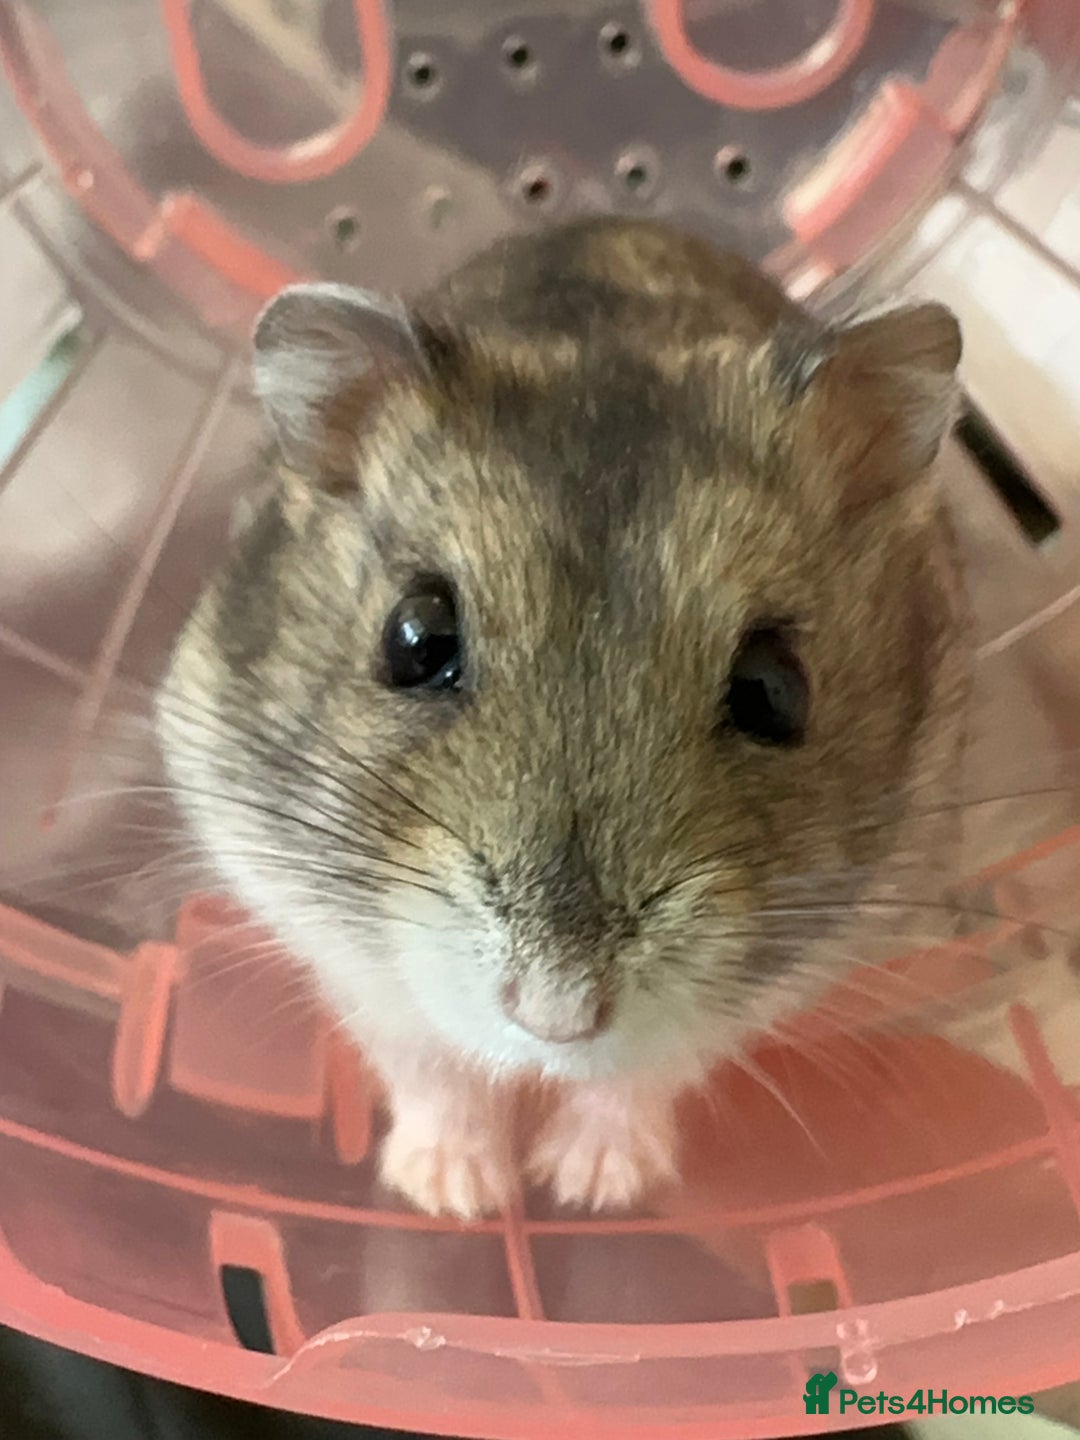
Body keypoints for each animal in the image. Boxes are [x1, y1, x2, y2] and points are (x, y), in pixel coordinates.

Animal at [157, 217, 969, 1219]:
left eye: (775, 690)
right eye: (415, 638)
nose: (557, 1012)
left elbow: (640, 1076)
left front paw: (586, 1188)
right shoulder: (327, 935)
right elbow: (430, 1068)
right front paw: (456, 1196)